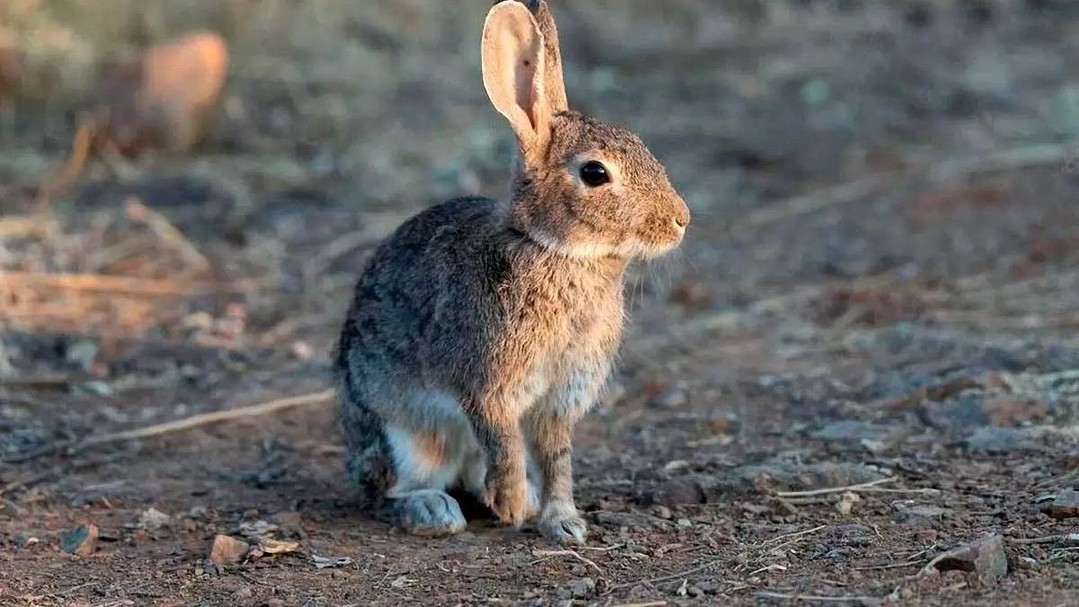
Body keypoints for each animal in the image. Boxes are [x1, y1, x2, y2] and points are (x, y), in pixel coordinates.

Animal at [333, 0, 690, 545]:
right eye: (595, 173)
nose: (680, 219)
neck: (555, 250)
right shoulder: (489, 389)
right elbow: (505, 444)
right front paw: (517, 506)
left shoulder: (560, 397)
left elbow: (556, 458)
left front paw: (562, 522)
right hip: (406, 435)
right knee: (387, 489)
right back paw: (434, 510)